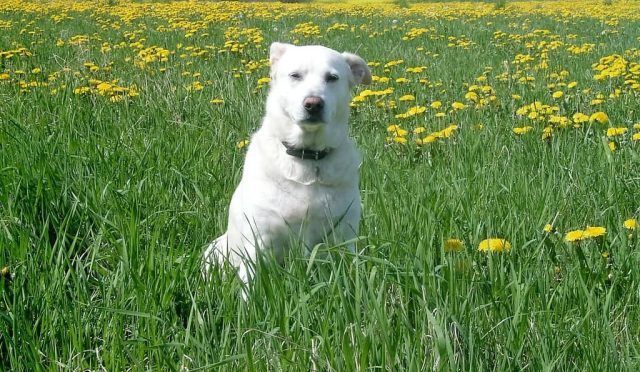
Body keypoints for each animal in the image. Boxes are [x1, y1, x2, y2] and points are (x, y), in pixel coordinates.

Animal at [202, 42, 372, 286]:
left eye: (332, 77)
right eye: (295, 75)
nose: (313, 104)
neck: (307, 157)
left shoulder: (344, 235)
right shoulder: (260, 239)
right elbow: (251, 283)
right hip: (214, 251)